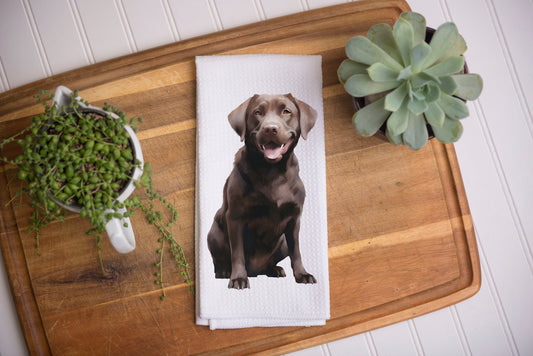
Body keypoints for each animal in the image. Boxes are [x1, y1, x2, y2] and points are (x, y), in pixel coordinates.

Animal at [207, 94, 316, 290]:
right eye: (257, 112)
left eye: (286, 111)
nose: (270, 128)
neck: (273, 173)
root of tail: (255, 271)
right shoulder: (235, 217)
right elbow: (237, 252)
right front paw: (238, 279)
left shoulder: (294, 218)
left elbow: (296, 251)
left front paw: (303, 274)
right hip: (214, 235)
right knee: (220, 260)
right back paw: (225, 272)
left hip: (282, 243)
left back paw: (275, 270)